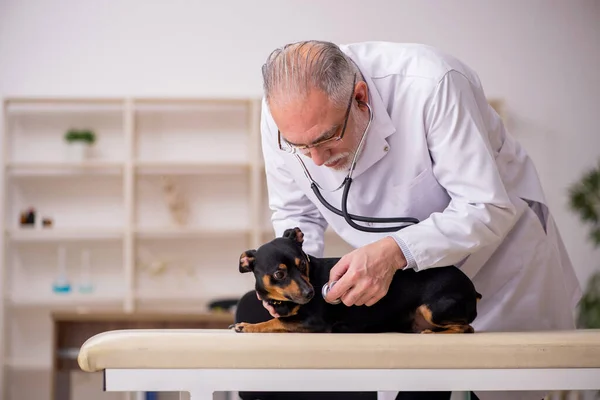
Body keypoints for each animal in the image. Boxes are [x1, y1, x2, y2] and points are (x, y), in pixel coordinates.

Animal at [231, 228, 482, 334]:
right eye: (279, 274)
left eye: (303, 264)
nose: (310, 293)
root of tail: (473, 291)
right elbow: (280, 318)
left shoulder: (314, 323)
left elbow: (277, 322)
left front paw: (248, 326)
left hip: (433, 309)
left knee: (466, 328)